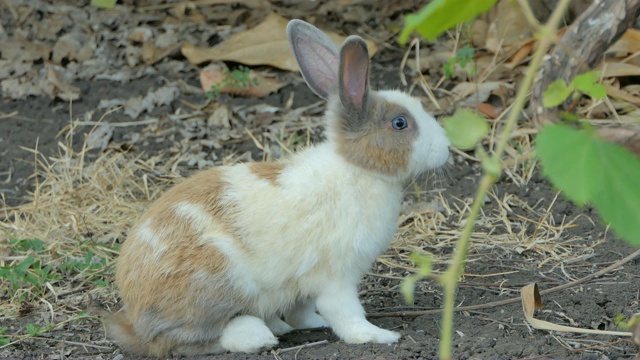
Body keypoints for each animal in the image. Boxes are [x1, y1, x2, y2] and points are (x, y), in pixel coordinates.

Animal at [106, 19, 450, 358]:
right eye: (400, 123)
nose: (446, 149)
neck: (356, 169)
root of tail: (136, 312)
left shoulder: (304, 285)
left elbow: (303, 309)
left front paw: (313, 323)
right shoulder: (336, 276)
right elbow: (345, 312)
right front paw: (377, 336)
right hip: (216, 284)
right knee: (181, 341)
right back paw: (254, 336)